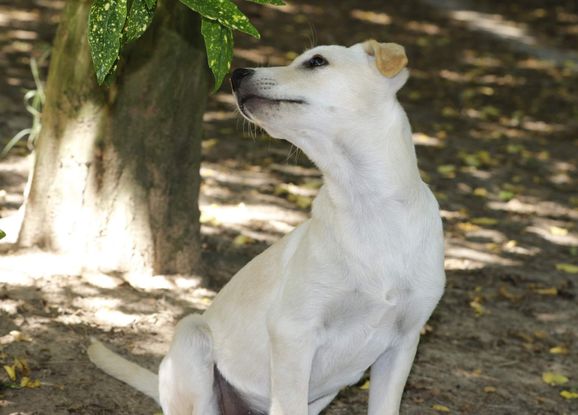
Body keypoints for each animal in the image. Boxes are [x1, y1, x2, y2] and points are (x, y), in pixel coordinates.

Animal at [88, 39, 445, 415]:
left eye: (317, 61)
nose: (237, 73)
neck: (367, 205)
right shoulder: (293, 331)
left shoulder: (403, 343)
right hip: (192, 336)